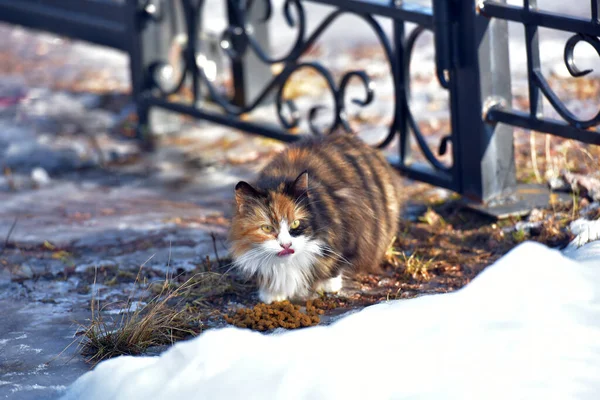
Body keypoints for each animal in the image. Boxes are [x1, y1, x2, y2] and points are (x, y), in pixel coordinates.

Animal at [230, 132, 404, 304]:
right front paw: (272, 294)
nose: (286, 245)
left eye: (295, 223)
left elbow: (337, 263)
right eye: (267, 228)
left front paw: (328, 285)